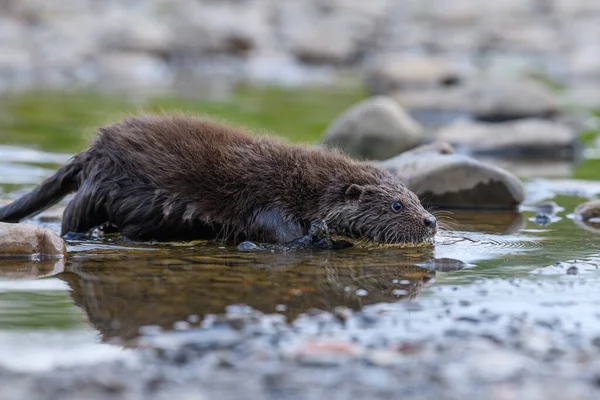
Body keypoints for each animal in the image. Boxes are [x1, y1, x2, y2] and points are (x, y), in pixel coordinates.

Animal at [1, 115, 436, 244]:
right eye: (396, 205)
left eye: (417, 198)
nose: (431, 222)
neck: (307, 184)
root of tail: (92, 150)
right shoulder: (268, 197)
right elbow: (277, 232)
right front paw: (320, 237)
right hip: (104, 185)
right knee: (71, 214)